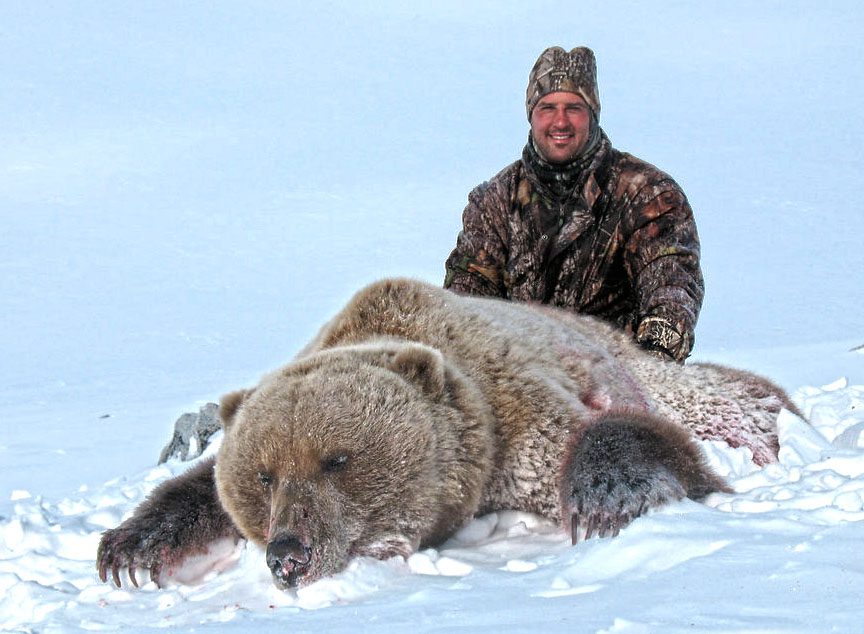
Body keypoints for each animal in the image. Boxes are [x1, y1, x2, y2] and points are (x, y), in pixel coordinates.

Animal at [96, 278, 801, 590]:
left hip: (631, 358)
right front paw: (131, 551)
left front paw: (608, 501)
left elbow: (610, 437)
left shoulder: (514, 412)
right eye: (264, 475)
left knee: (710, 397)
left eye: (337, 459)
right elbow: (194, 489)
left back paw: (770, 424)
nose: (288, 554)